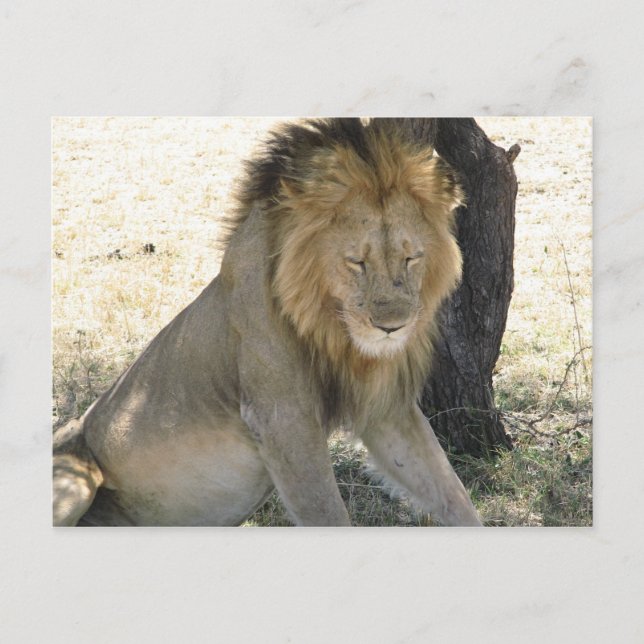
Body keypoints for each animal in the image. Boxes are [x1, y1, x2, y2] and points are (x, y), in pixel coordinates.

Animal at [53, 118, 482, 527]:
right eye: (356, 262)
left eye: (412, 258)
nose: (393, 327)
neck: (334, 333)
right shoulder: (282, 419)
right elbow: (329, 513)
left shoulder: (384, 407)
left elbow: (450, 489)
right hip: (76, 477)